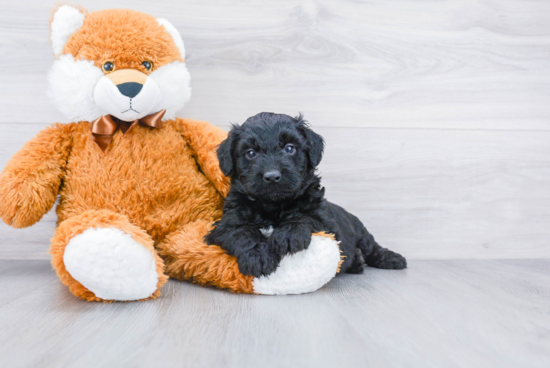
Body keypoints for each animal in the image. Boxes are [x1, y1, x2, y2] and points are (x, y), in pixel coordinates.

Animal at [205, 112, 408, 276]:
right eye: (250, 153)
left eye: (289, 148)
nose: (272, 176)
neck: (272, 206)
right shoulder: (225, 225)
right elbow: (243, 231)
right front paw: (258, 256)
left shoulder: (328, 224)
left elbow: (304, 216)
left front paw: (288, 234)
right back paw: (357, 263)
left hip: (360, 232)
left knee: (372, 247)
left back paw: (392, 259)